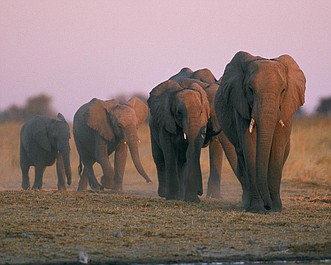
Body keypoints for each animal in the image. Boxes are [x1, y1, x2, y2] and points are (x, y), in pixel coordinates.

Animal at [215, 51, 306, 212]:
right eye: (250, 89)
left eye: (283, 90)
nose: (267, 206)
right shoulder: (240, 105)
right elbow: (249, 145)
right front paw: (257, 208)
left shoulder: (287, 107)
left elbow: (277, 147)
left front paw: (276, 209)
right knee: (241, 155)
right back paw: (247, 203)